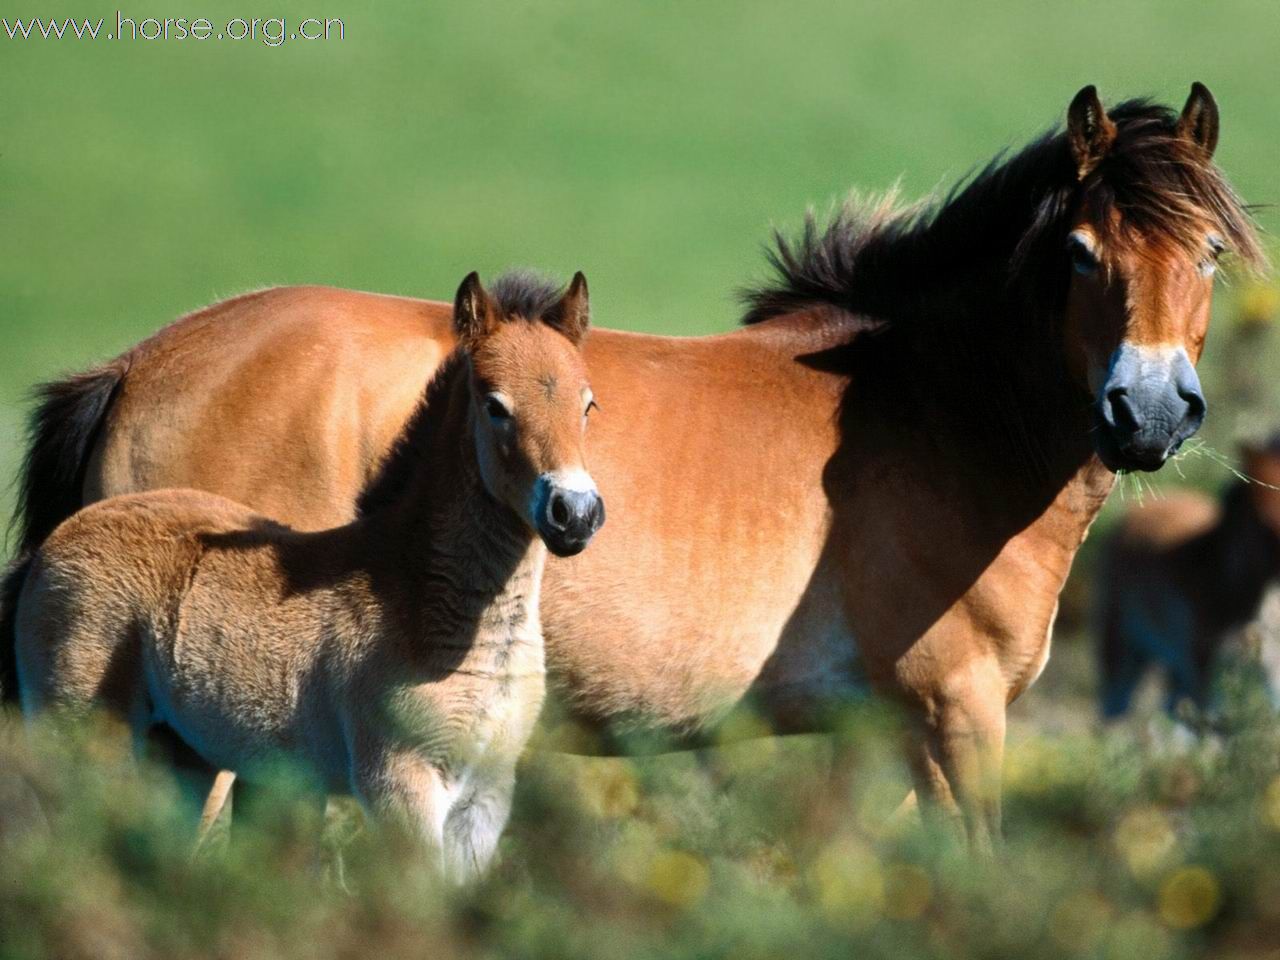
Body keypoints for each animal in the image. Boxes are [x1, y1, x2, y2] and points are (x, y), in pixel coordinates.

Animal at [13, 268, 604, 880]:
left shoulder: (484, 797)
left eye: (587, 404)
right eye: (495, 406)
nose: (574, 512)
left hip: (181, 755)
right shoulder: (399, 784)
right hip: (82, 738)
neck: (416, 591)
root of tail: (53, 544)